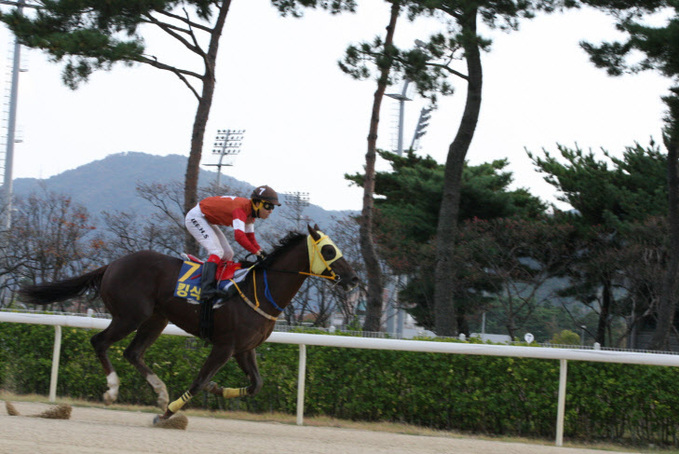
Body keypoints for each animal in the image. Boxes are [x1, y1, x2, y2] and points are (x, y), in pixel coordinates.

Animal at [17, 224, 362, 422]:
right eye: (328, 249)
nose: (353, 278)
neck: (260, 291)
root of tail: (112, 264)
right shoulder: (224, 346)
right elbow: (198, 381)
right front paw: (169, 413)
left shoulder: (244, 349)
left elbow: (255, 385)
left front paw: (215, 388)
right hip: (131, 315)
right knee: (100, 342)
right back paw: (114, 391)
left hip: (156, 319)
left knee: (133, 353)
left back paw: (159, 391)